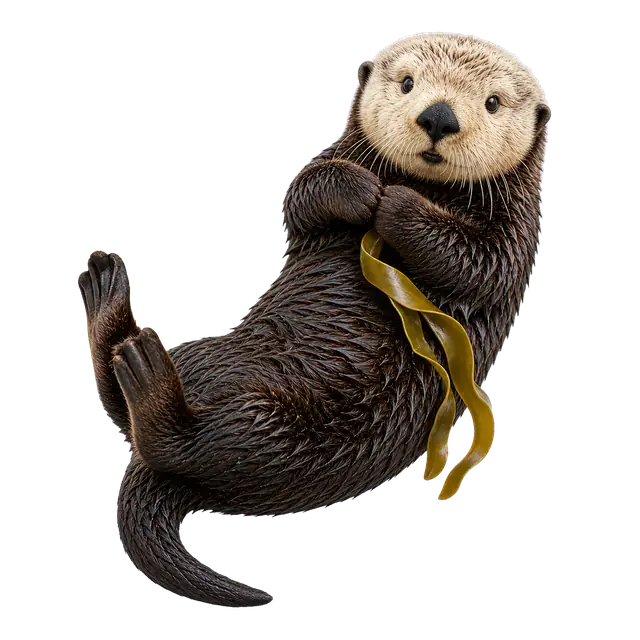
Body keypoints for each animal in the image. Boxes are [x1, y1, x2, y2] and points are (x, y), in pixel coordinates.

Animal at [79, 32, 550, 607]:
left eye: (492, 103)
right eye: (407, 82)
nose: (439, 117)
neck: (432, 188)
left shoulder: (516, 234)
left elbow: (477, 262)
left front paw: (393, 203)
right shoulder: (324, 168)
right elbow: (305, 193)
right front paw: (363, 191)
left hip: (291, 434)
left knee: (191, 444)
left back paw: (146, 376)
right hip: (203, 354)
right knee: (119, 399)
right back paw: (107, 295)